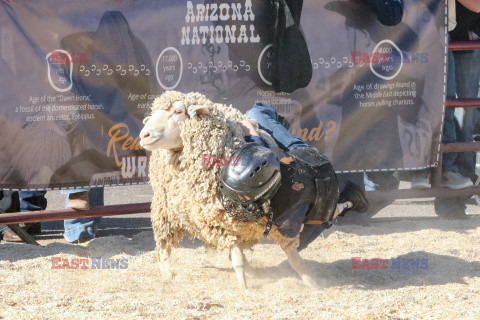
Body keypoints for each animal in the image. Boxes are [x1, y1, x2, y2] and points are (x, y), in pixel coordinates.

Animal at [140, 90, 318, 290]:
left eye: (178, 111)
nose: (144, 135)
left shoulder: (279, 219)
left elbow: (295, 259)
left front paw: (313, 285)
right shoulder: (221, 226)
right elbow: (238, 260)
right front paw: (244, 288)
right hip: (164, 211)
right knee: (163, 247)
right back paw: (167, 276)